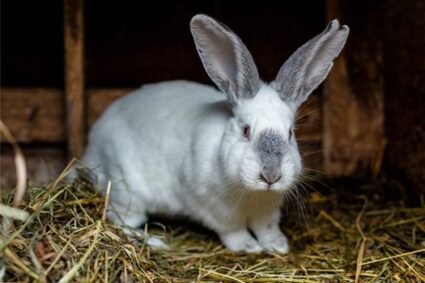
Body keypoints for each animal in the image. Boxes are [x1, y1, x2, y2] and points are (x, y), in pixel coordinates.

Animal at [80, 14, 348, 254]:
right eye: (246, 130)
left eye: (290, 133)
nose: (271, 175)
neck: (252, 194)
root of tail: (90, 149)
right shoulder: (212, 208)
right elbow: (233, 230)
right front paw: (248, 247)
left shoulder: (268, 211)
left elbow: (267, 228)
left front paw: (277, 246)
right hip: (125, 189)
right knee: (117, 219)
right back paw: (155, 242)